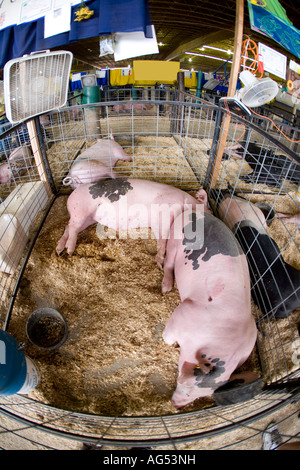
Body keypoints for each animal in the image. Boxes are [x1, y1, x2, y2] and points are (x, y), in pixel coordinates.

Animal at [56, 179, 211, 268]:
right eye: (209, 211)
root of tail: (72, 195)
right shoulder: (164, 214)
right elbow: (163, 238)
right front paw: (159, 264)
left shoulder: (156, 221)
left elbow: (161, 237)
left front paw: (158, 262)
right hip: (80, 211)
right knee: (72, 227)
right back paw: (69, 250)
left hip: (88, 218)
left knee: (68, 227)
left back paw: (59, 250)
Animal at [161, 209, 256, 408]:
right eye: (181, 384)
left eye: (200, 396)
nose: (176, 405)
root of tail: (195, 212)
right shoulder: (184, 311)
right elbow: (168, 336)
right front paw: (168, 341)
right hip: (175, 237)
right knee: (168, 263)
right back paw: (165, 289)